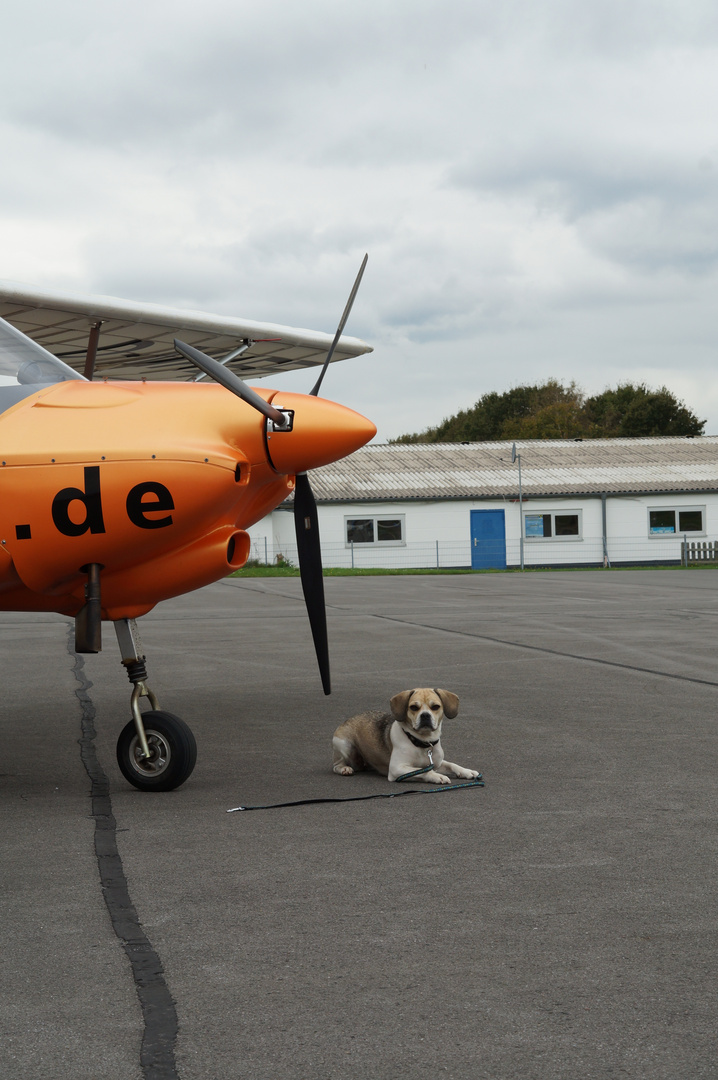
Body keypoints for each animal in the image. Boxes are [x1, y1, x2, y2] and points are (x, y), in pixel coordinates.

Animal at [328, 691, 475, 786]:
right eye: (414, 707)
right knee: (336, 765)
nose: (425, 715)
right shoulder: (396, 768)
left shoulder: (437, 763)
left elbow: (452, 765)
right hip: (345, 746)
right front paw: (437, 776)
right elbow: (423, 771)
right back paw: (344, 769)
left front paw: (466, 771)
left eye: (435, 707)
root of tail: (348, 719)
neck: (421, 743)